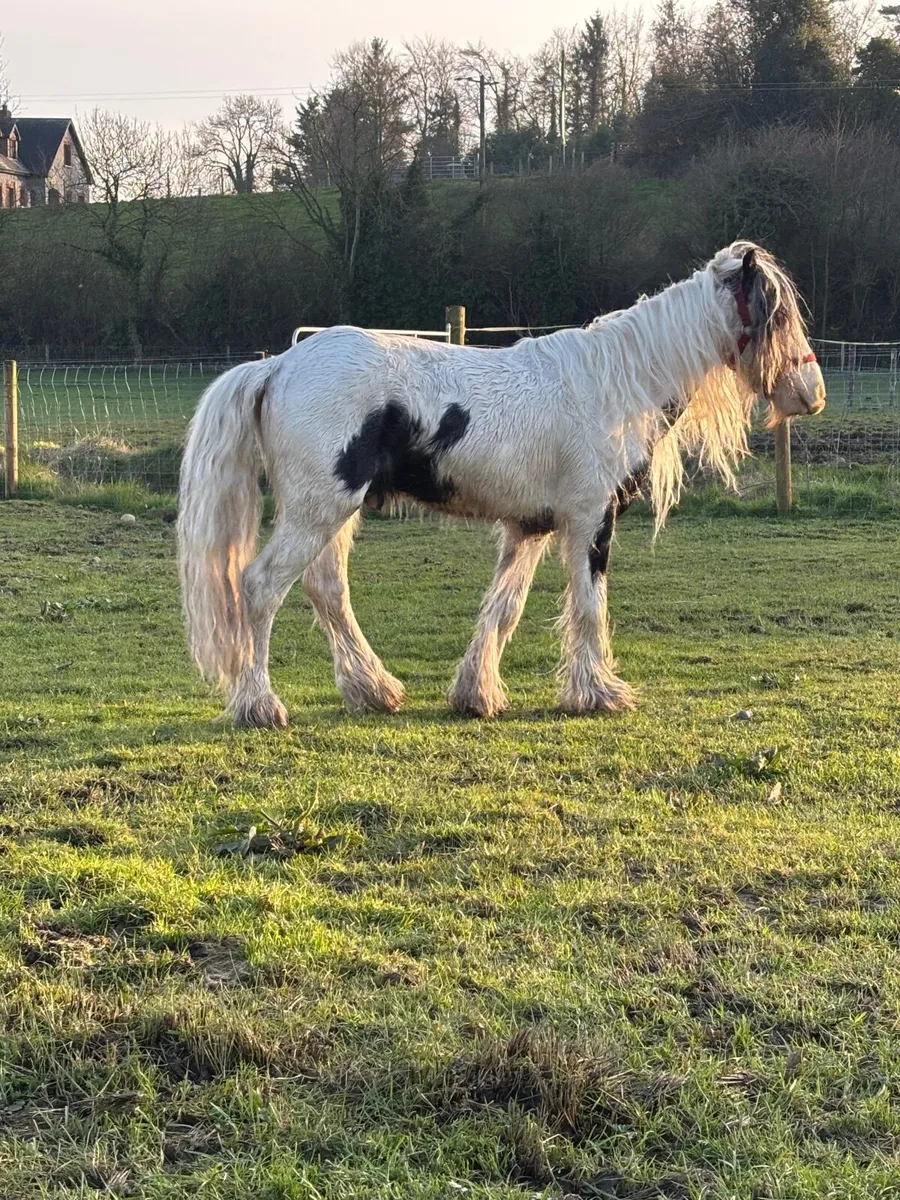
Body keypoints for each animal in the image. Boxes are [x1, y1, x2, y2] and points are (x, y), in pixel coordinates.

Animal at [177, 242, 825, 728]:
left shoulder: (530, 526)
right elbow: (588, 605)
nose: (811, 393)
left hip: (334, 513)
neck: (619, 380)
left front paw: (476, 694)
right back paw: (260, 705)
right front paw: (597, 693)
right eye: (777, 314)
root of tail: (277, 367)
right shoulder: (590, 520)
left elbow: (503, 609)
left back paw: (373, 690)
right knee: (259, 588)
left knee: (327, 590)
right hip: (319, 511)